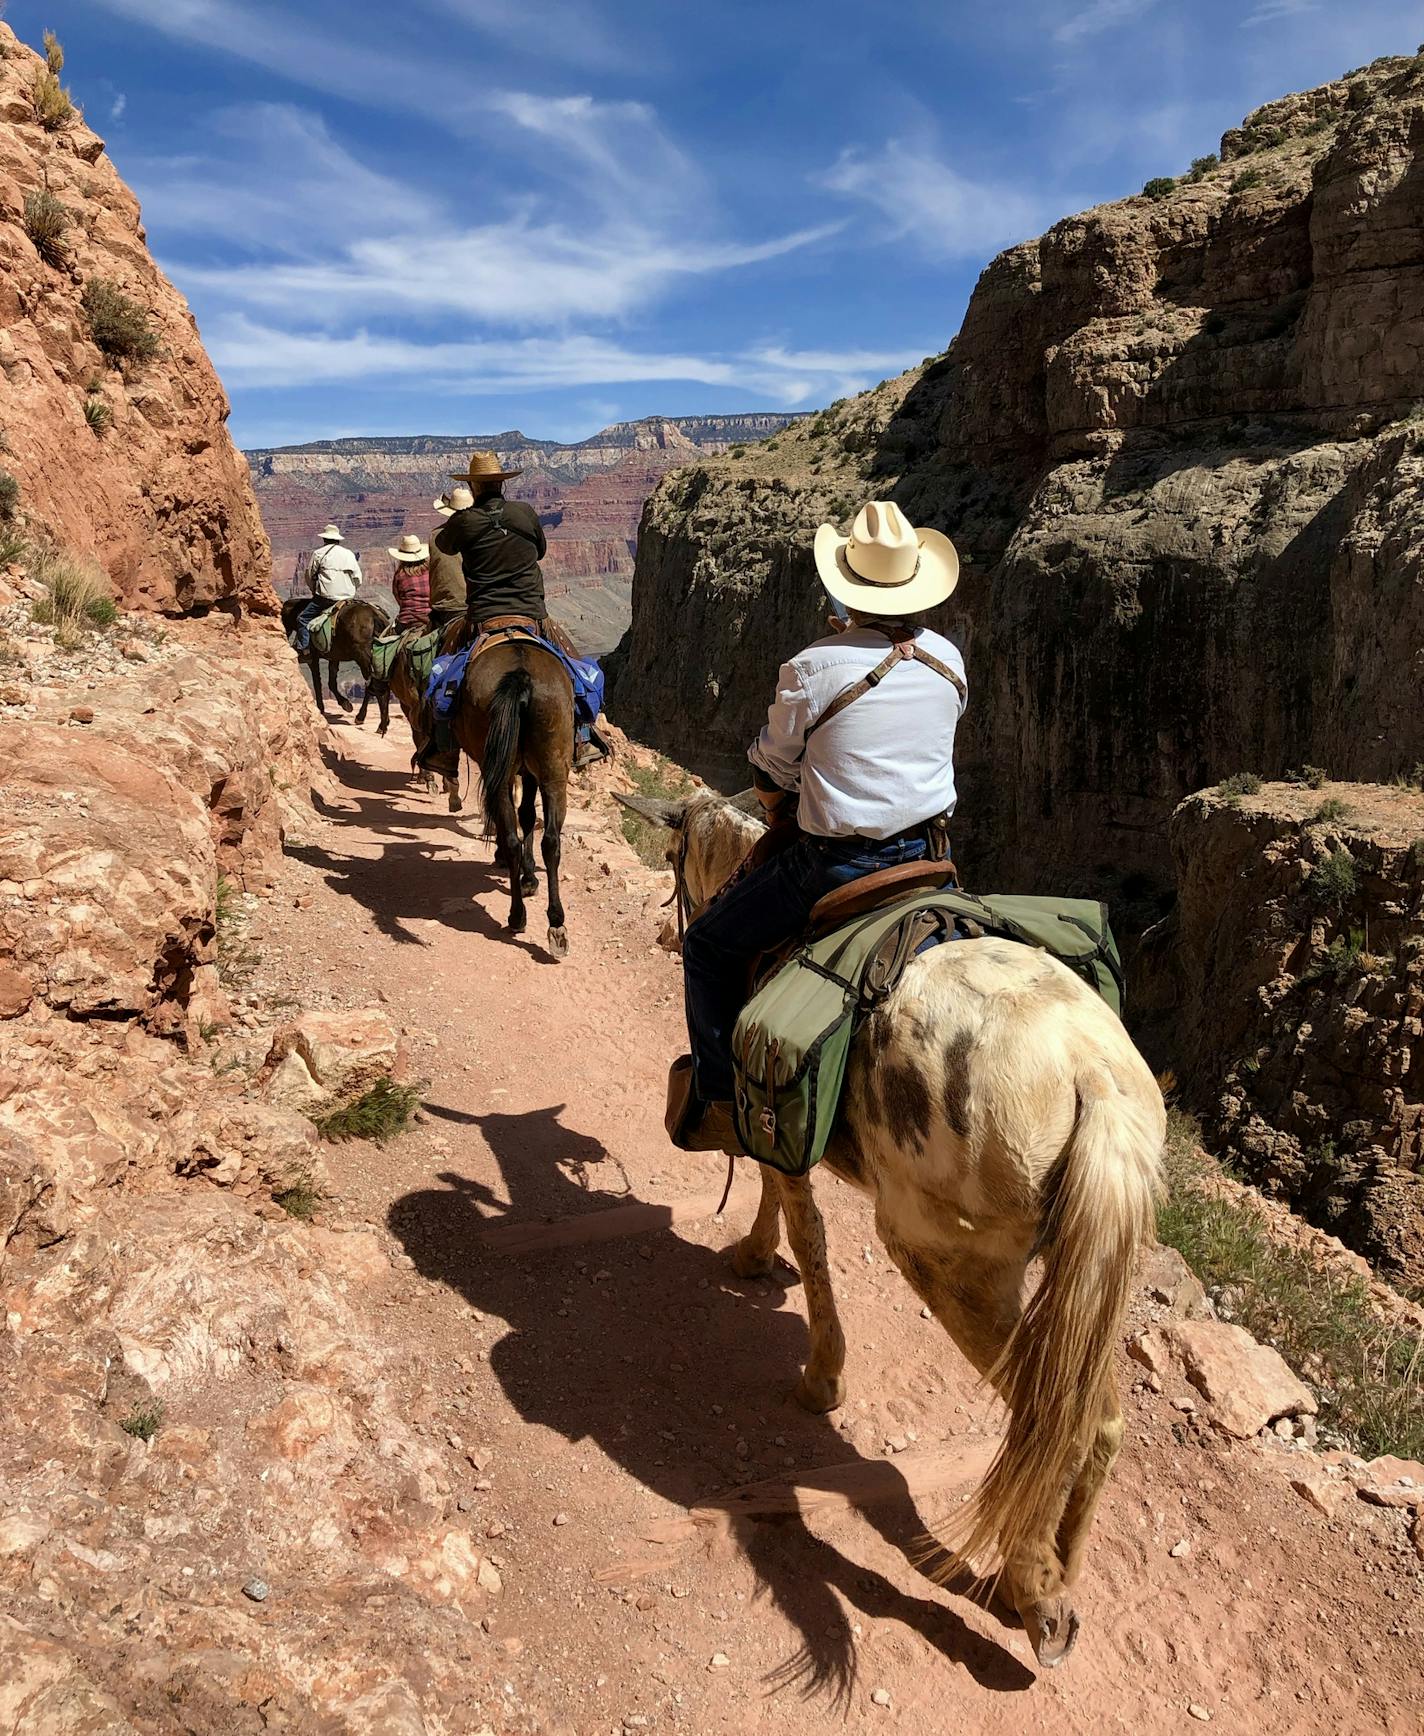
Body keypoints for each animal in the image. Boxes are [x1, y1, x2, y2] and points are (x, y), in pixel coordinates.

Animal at [281, 597, 392, 732]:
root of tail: (375, 616)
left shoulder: (313, 659)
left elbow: (317, 683)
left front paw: (322, 708)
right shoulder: (334, 658)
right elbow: (331, 683)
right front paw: (345, 704)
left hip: (362, 658)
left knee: (373, 685)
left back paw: (367, 719)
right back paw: (382, 722)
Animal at [451, 642, 573, 965]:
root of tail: (522, 674)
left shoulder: (512, 770)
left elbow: (522, 816)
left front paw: (522, 873)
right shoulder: (527, 771)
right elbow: (527, 816)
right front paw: (529, 877)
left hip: (506, 770)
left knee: (511, 836)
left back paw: (518, 916)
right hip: (554, 770)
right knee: (550, 841)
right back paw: (555, 923)